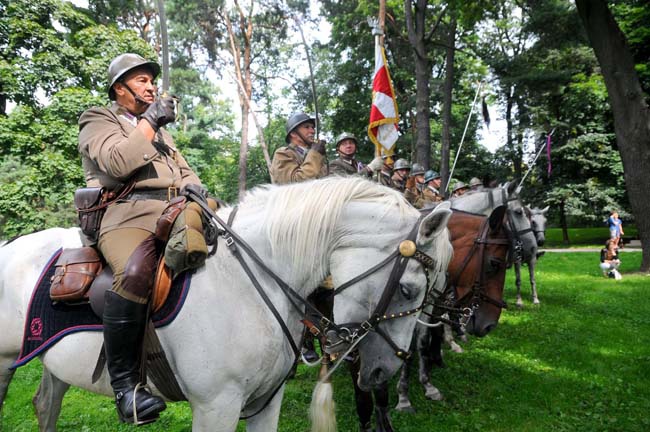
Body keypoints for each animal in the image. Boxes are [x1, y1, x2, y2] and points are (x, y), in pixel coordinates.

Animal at [0, 176, 450, 432]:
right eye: (409, 290)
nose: (383, 371)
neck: (248, 283)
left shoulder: (265, 404)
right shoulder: (216, 407)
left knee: (46, 405)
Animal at [346, 208, 508, 430]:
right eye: (495, 264)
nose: (490, 325)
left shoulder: (426, 308)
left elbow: (422, 341)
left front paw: (428, 381)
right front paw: (403, 398)